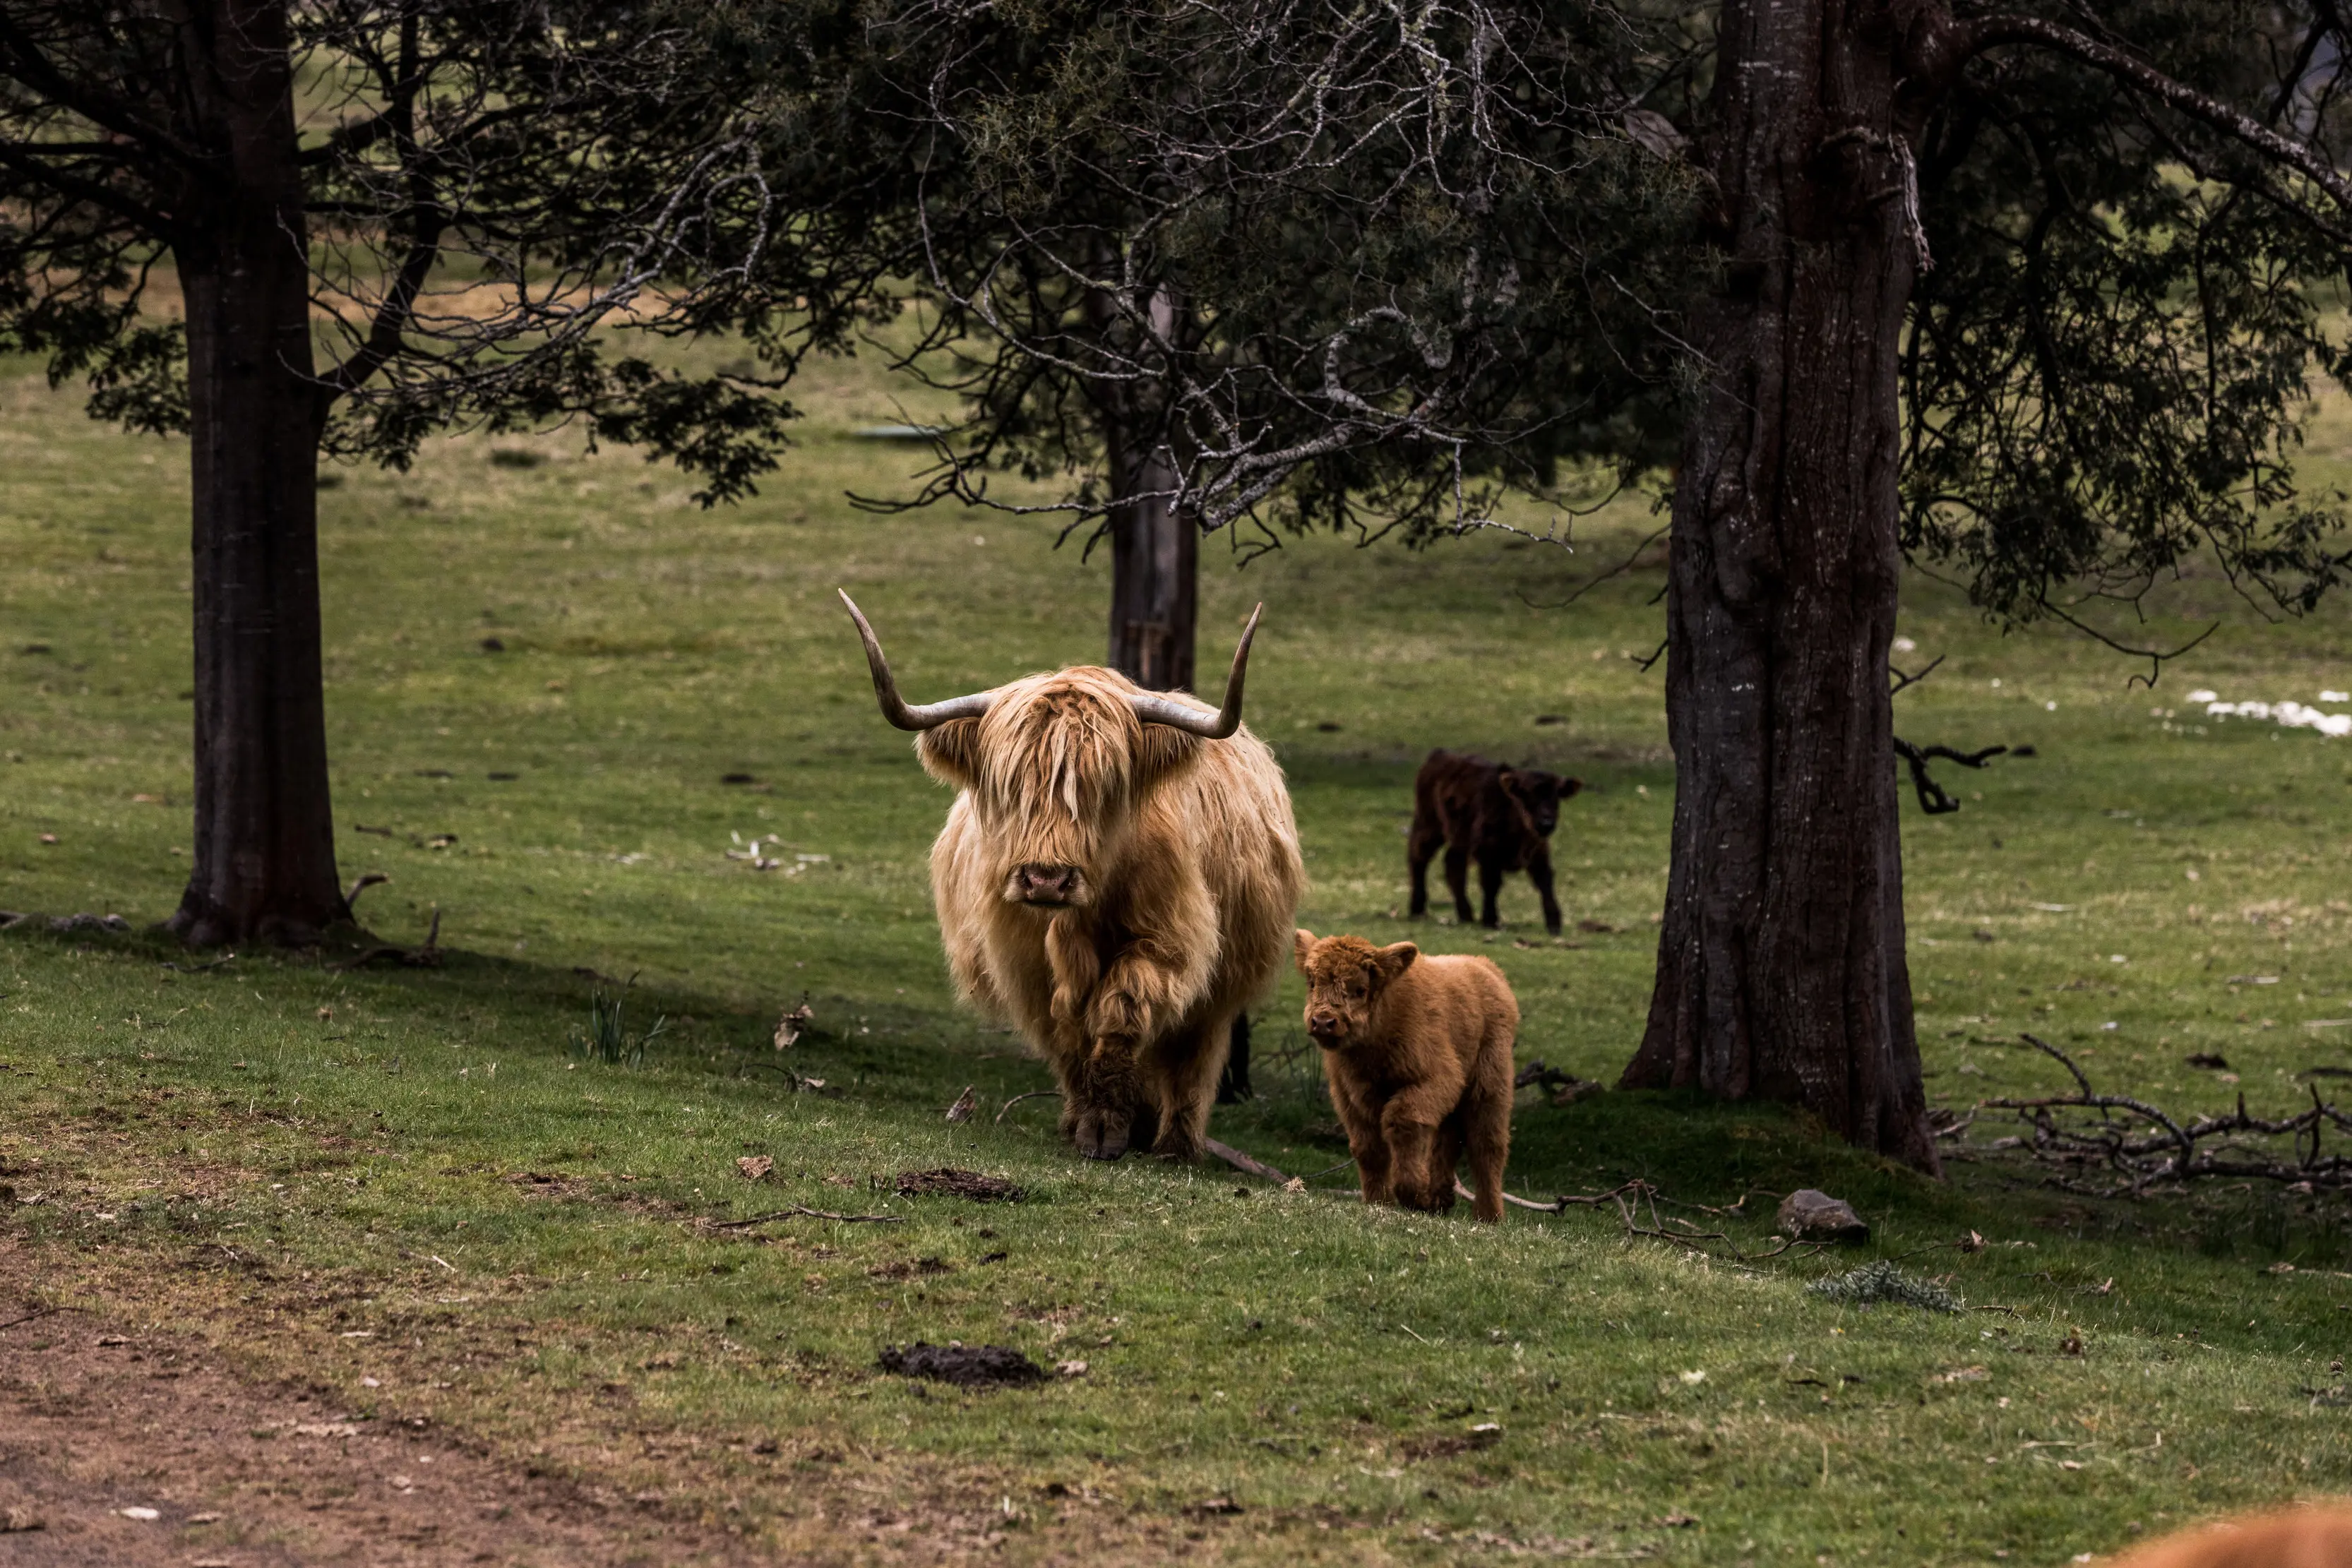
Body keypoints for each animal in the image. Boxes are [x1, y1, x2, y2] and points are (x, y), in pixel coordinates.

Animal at [841, 591, 1304, 1162]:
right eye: (1010, 784)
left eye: (1100, 786)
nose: (1046, 880)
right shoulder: (1026, 964)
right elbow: (1066, 1040)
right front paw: (1088, 1123)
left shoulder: (1168, 942)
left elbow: (1122, 1013)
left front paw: (1106, 1130)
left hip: (1222, 987)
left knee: (1191, 1058)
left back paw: (1176, 1144)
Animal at [1407, 750, 1583, 935]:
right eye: (1525, 794)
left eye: (1556, 795)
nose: (1546, 823)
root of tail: (1439, 755)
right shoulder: (1488, 853)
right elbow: (1491, 884)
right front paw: (1490, 920)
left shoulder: (1538, 851)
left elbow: (1545, 882)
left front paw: (1554, 924)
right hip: (1429, 825)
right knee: (1418, 857)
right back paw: (1417, 909)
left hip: (1459, 839)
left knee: (1453, 865)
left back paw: (1466, 915)